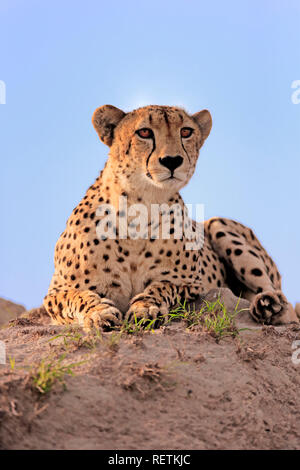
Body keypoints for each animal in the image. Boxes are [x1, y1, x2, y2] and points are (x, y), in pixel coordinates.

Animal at [44, 104, 298, 328]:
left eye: (186, 131)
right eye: (144, 132)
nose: (172, 160)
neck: (140, 206)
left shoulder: (190, 283)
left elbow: (162, 286)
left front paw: (146, 307)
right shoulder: (56, 291)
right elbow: (78, 296)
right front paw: (99, 312)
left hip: (218, 225)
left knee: (286, 308)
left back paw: (269, 305)